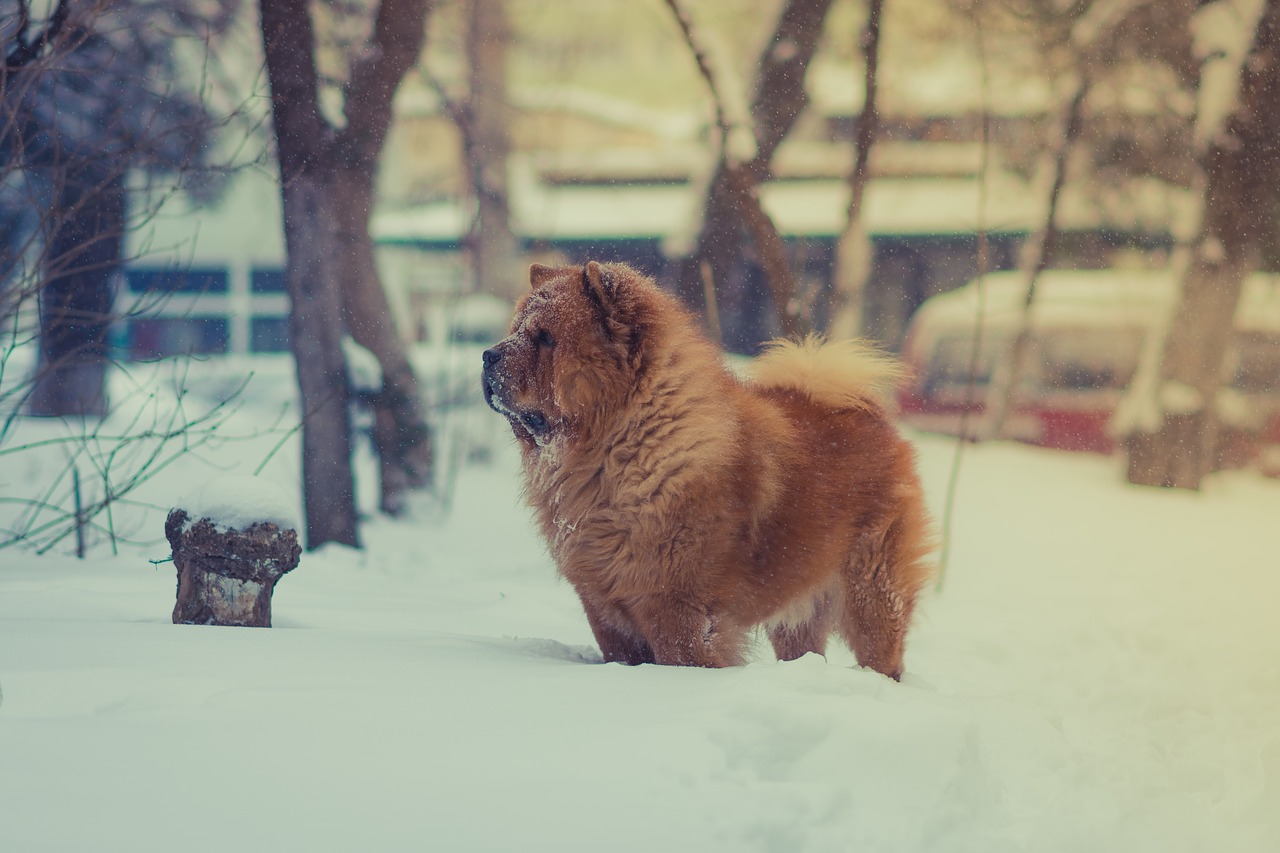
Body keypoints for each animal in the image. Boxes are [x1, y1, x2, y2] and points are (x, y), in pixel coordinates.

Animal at [481, 258, 931, 676]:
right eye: (516, 330)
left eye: (545, 338)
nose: (487, 355)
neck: (610, 455)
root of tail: (872, 417)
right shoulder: (604, 607)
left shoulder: (678, 607)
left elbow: (683, 657)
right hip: (798, 611)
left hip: (871, 592)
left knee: (883, 653)